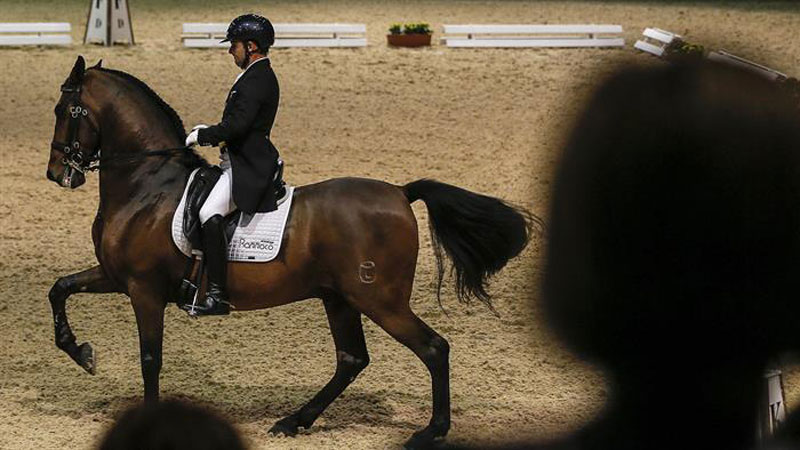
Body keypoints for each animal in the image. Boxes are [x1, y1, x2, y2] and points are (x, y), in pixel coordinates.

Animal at [43, 55, 536, 446]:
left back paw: (430, 431)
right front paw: (80, 352)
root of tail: (400, 192)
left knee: (433, 348)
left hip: (380, 300)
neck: (147, 184)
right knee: (352, 359)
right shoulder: (116, 277)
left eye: (65, 110)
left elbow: (150, 359)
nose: (57, 174)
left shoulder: (143, 289)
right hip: (339, 298)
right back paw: (295, 421)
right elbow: (59, 288)